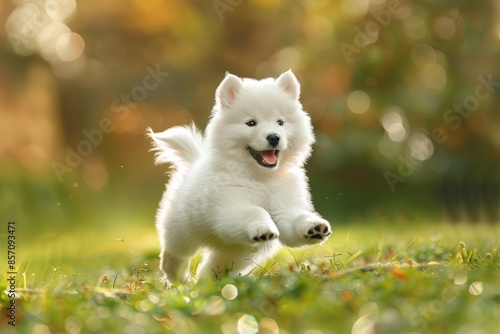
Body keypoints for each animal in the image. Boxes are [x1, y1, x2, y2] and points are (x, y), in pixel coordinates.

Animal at [146, 70, 330, 282]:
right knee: (175, 255)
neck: (261, 178)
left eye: (280, 122)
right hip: (182, 229)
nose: (274, 137)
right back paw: (179, 279)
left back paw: (208, 282)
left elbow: (296, 218)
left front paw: (314, 226)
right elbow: (256, 211)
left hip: (237, 254)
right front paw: (263, 227)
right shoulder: (228, 208)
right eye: (251, 123)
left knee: (213, 267)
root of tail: (193, 162)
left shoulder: (284, 206)